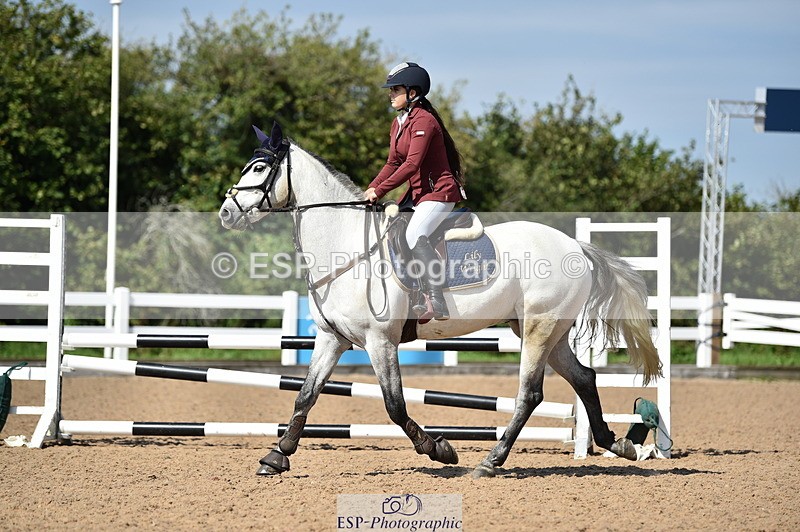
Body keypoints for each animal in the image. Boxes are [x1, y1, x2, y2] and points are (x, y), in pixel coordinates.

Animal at [218, 122, 661, 478]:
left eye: (259, 169)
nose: (225, 212)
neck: (344, 246)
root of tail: (576, 247)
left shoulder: (380, 341)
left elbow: (394, 406)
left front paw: (439, 449)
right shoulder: (333, 338)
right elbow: (305, 395)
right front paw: (277, 456)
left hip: (539, 329)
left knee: (530, 394)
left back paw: (491, 461)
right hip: (546, 331)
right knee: (584, 377)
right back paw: (618, 444)